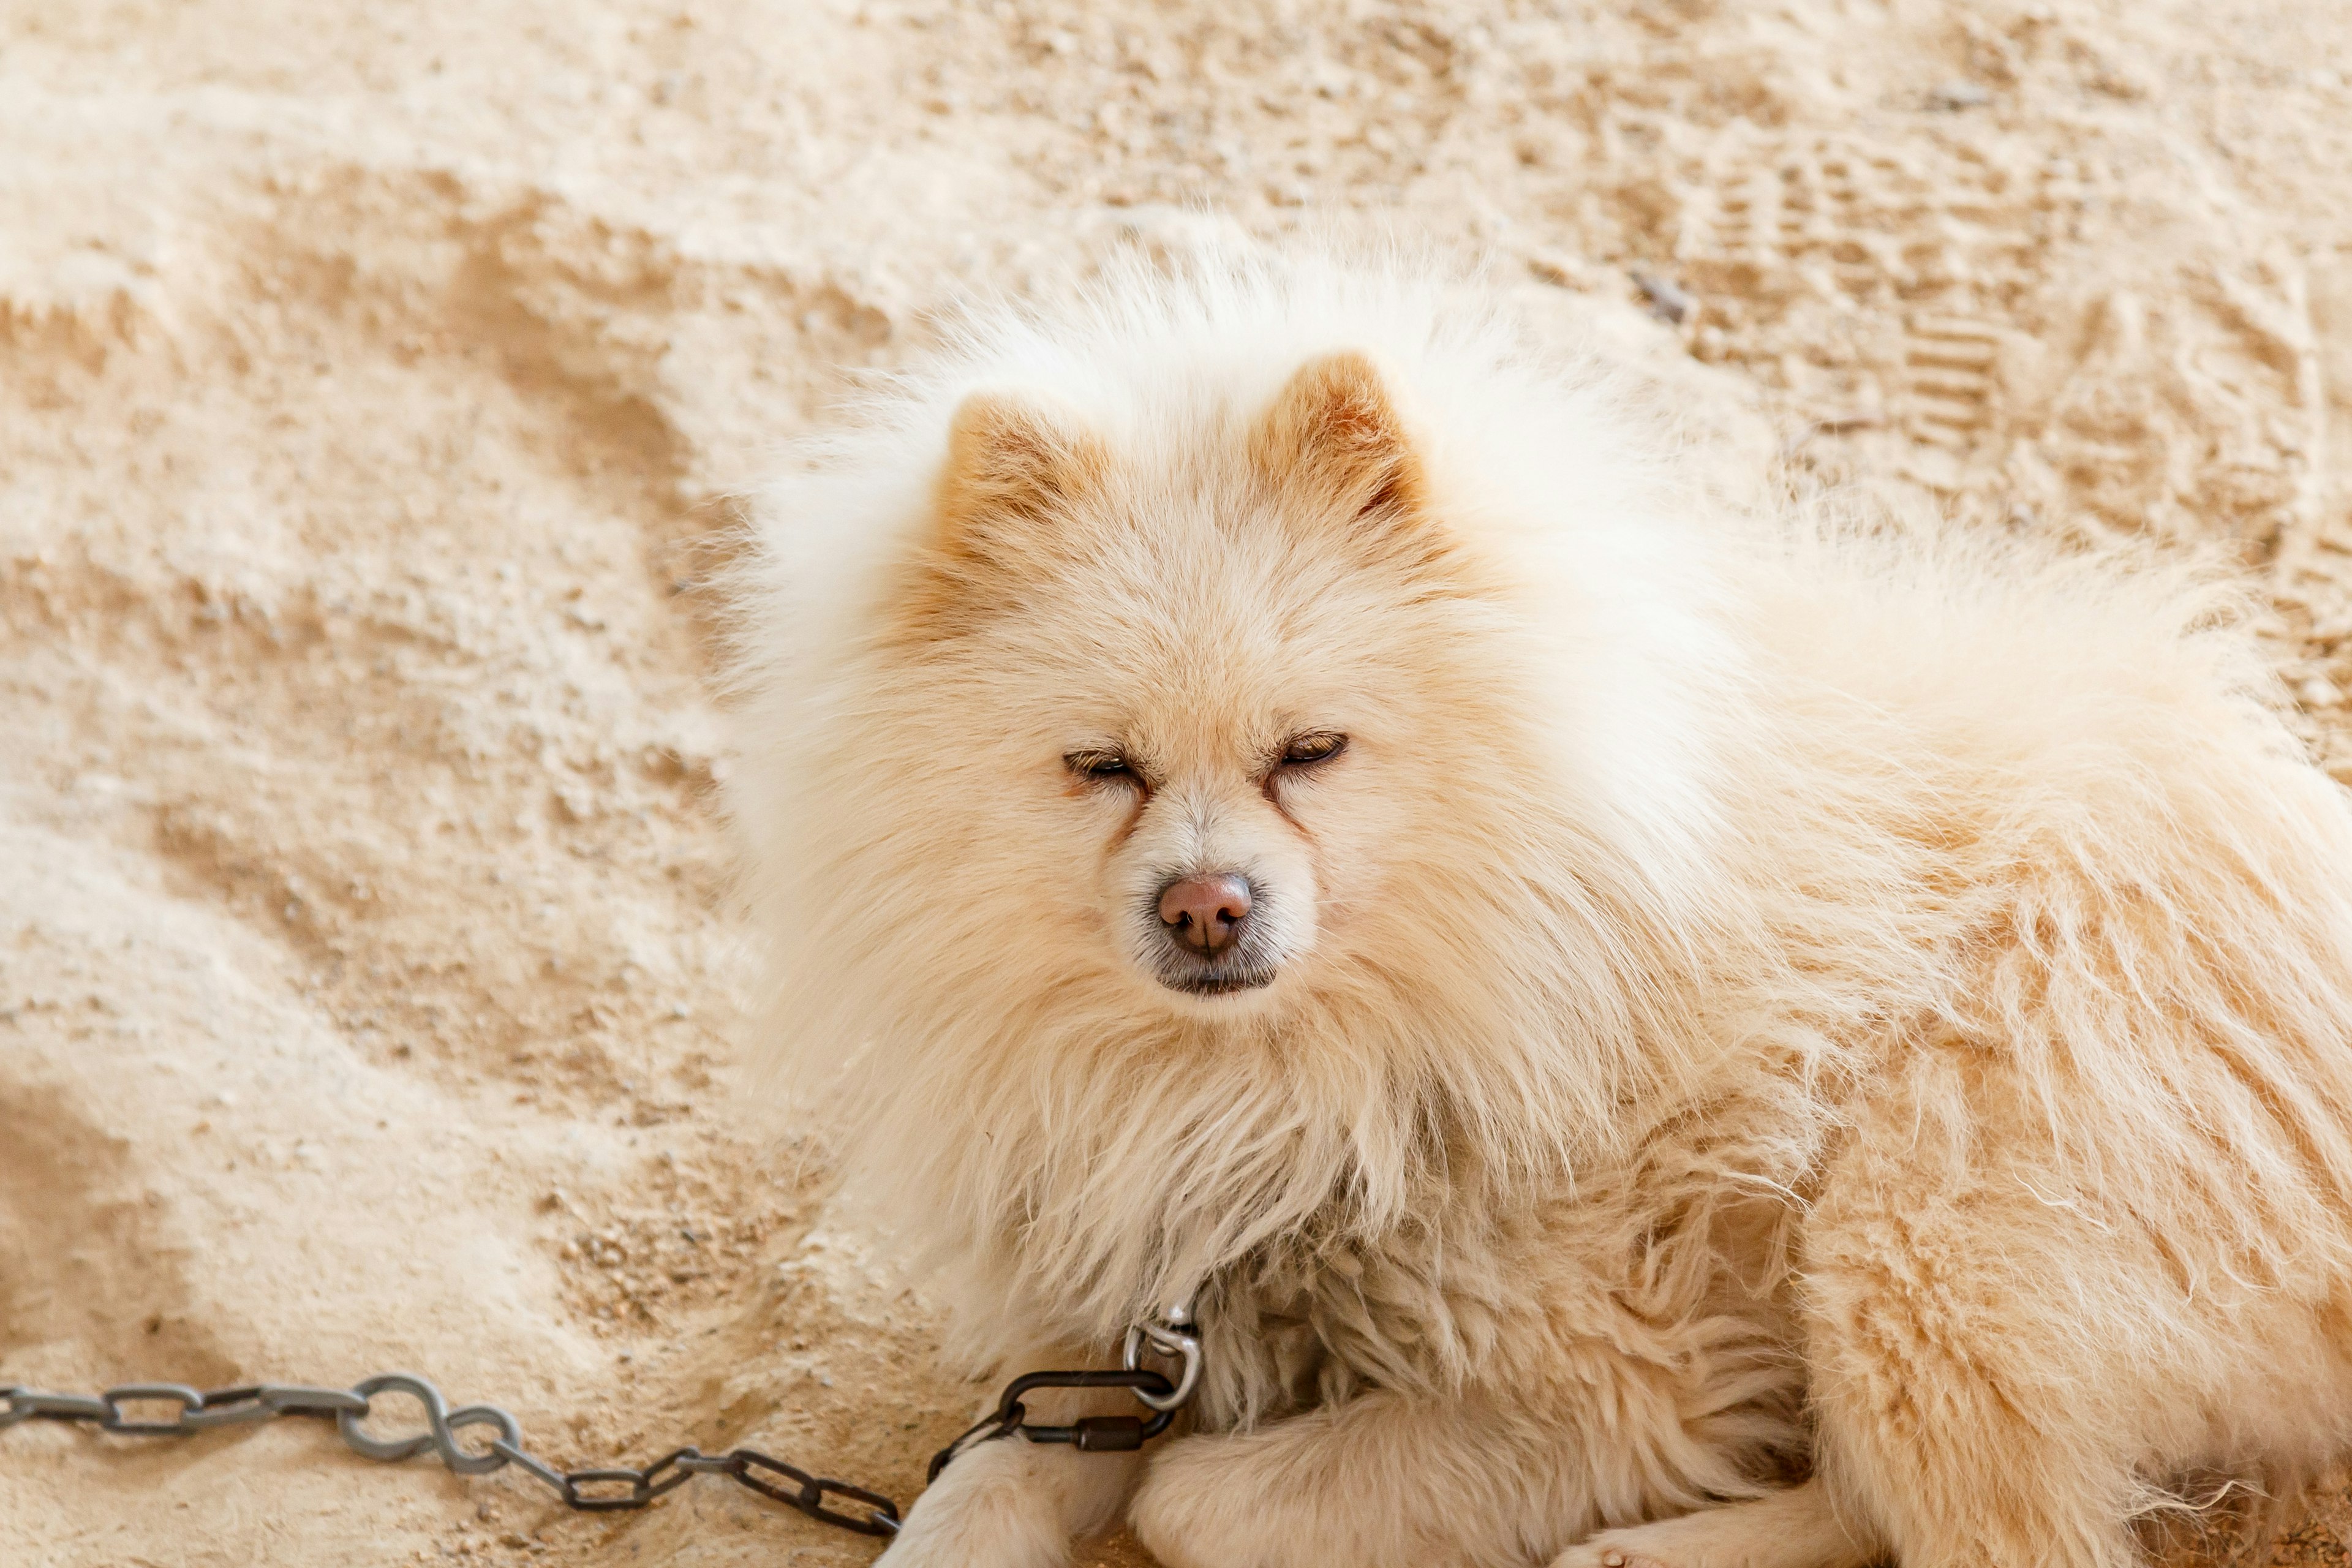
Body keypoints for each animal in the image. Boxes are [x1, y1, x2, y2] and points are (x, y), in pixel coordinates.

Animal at [724, 251, 2352, 1561]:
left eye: (1309, 751)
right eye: (1101, 767)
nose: (1205, 905)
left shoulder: (1609, 1385)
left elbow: (1196, 1500)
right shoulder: (1113, 1320)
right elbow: (986, 1475)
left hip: (1911, 1225)